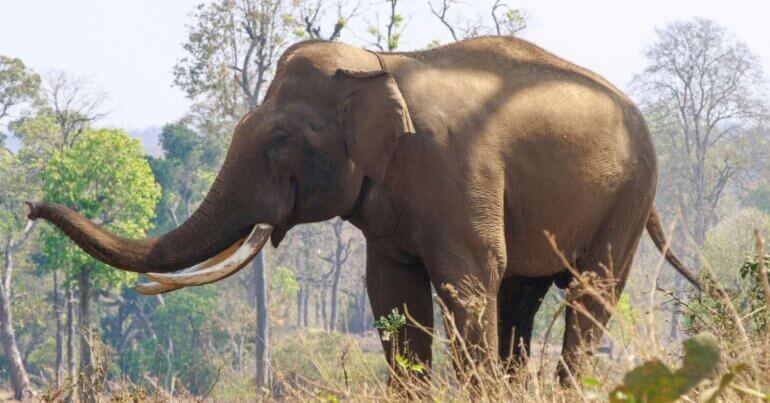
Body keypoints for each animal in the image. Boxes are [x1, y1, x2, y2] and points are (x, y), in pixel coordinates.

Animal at [27, 36, 699, 382]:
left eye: (280, 140)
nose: (30, 205)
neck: (378, 65)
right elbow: (393, 292)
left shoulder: (458, 172)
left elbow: (467, 283)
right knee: (520, 296)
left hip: (629, 193)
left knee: (591, 292)